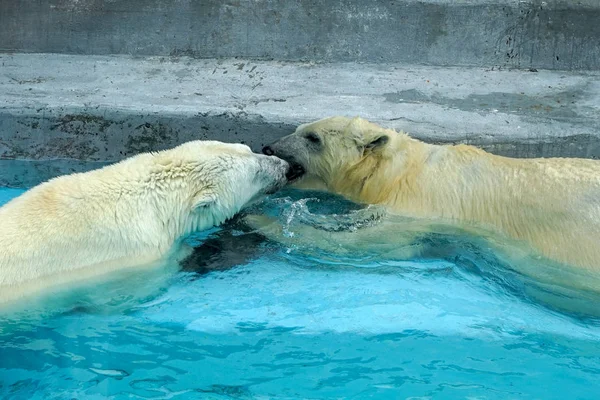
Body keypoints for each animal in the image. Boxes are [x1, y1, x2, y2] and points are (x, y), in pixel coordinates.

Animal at [262, 114, 600, 276]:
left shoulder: (414, 208)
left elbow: (363, 243)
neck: (397, 173)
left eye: (313, 138)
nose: (268, 146)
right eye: (299, 128)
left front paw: (261, 220)